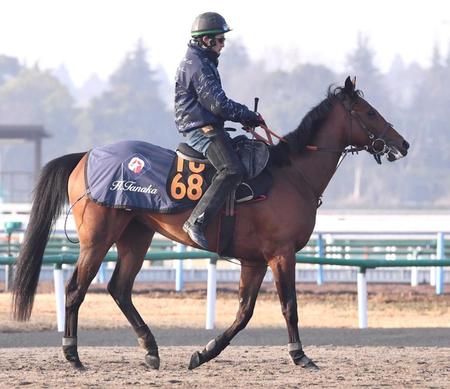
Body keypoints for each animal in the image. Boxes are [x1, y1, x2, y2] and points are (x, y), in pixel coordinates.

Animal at [12, 76, 410, 370]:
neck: (292, 174)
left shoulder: (254, 261)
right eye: (370, 112)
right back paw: (73, 355)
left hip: (136, 237)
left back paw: (150, 349)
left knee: (120, 289)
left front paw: (203, 353)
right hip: (97, 239)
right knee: (76, 289)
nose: (403, 143)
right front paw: (300, 355)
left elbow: (244, 313)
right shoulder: (281, 254)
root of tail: (86, 156)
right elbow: (289, 306)